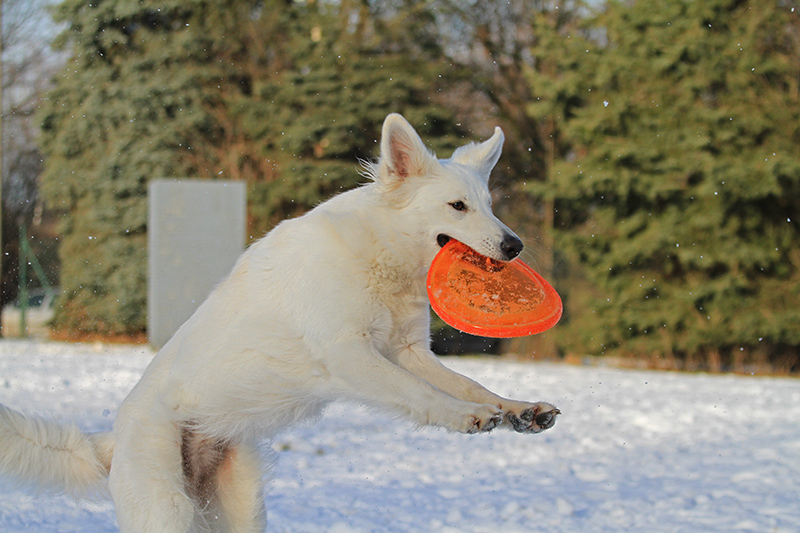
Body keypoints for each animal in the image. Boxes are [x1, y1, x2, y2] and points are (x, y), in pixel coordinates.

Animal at [0, 113, 559, 532]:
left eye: (489, 206)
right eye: (457, 207)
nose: (514, 246)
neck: (378, 252)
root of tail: (112, 440)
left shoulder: (407, 353)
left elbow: (469, 383)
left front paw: (517, 410)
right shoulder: (351, 356)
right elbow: (425, 395)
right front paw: (468, 417)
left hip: (241, 509)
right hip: (168, 507)